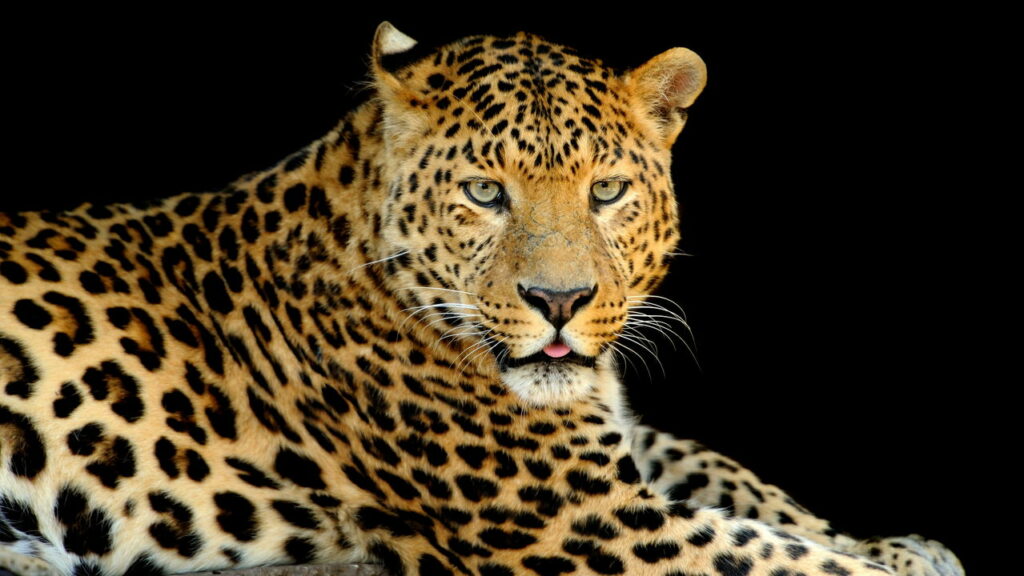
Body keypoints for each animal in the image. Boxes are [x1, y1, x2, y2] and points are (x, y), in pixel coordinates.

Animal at [0, 22, 964, 576]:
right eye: (485, 192)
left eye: (607, 191)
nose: (560, 301)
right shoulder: (583, 521)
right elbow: (782, 560)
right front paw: (880, 563)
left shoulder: (613, 442)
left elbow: (744, 486)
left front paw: (900, 547)